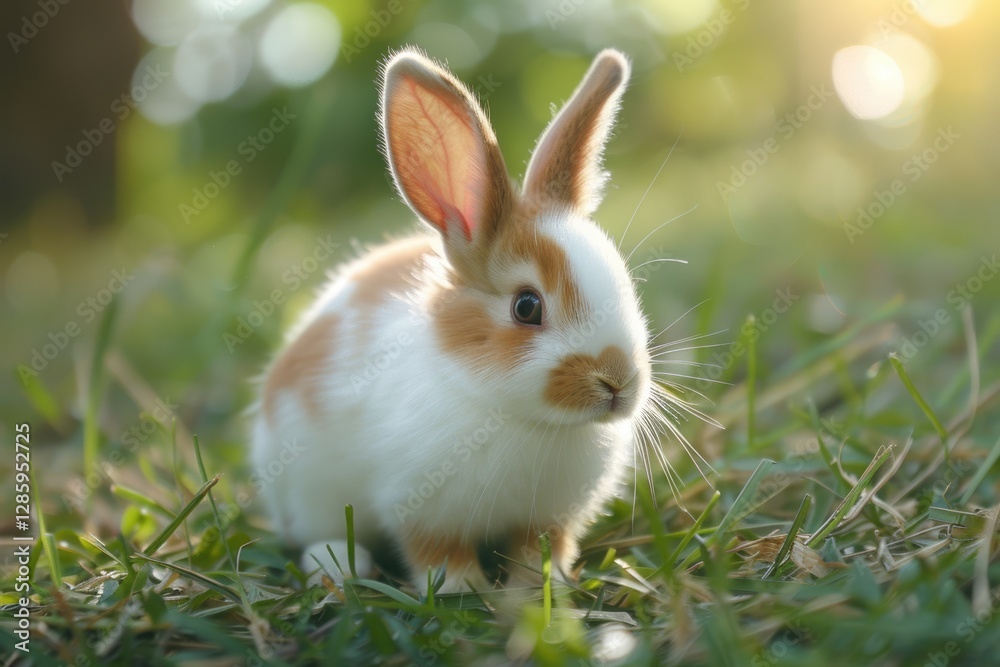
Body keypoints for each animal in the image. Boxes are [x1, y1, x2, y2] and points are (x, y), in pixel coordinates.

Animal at [251, 46, 656, 594]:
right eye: (527, 307)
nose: (618, 383)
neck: (526, 418)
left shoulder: (548, 518)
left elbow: (539, 547)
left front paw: (541, 585)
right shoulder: (418, 508)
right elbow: (438, 553)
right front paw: (462, 589)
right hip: (308, 492)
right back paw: (337, 564)